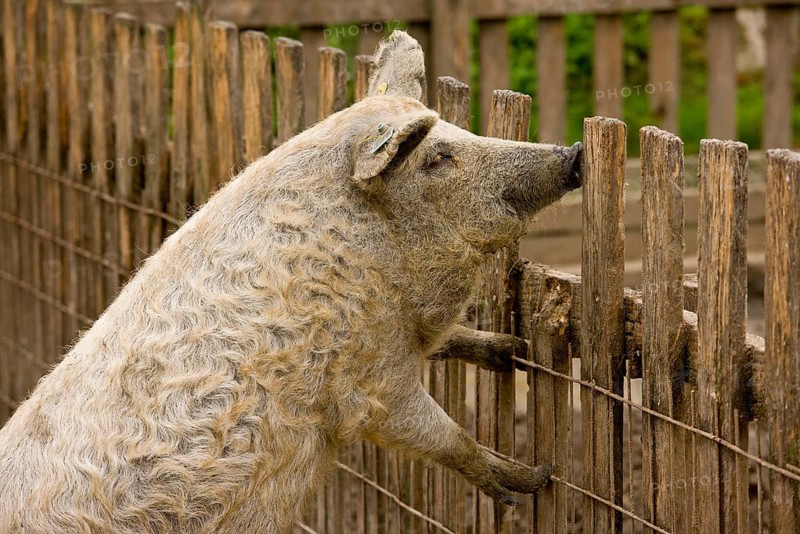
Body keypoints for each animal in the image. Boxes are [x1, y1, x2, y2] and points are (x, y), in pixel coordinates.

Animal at [0, 30, 582, 533]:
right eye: (437, 157)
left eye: (457, 133)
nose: (574, 155)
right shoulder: (367, 382)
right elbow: (440, 434)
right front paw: (532, 481)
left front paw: (512, 348)